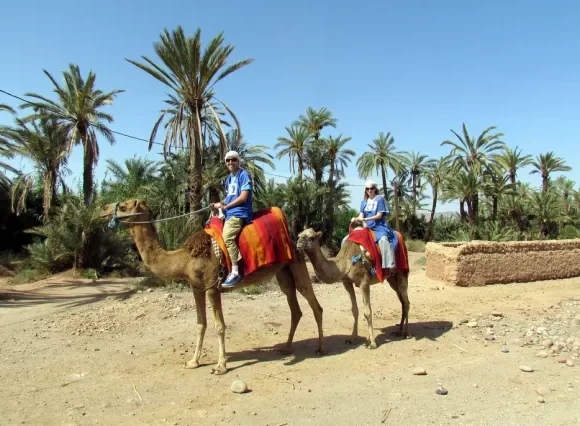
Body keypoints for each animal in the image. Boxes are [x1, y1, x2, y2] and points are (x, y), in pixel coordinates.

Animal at [100, 198, 326, 374]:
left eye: (124, 205)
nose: (103, 209)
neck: (184, 259)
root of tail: (294, 238)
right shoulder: (196, 288)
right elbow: (201, 323)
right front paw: (193, 361)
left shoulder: (212, 287)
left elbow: (219, 326)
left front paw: (221, 366)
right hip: (282, 272)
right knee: (294, 307)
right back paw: (286, 348)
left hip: (297, 263)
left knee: (314, 304)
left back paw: (320, 348)